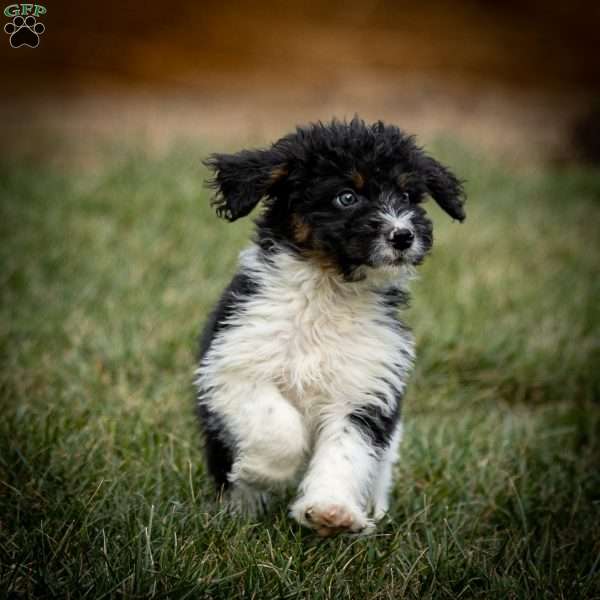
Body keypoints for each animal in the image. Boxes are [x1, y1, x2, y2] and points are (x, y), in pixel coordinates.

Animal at [195, 116, 466, 536]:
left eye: (407, 195)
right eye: (346, 197)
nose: (403, 235)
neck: (328, 292)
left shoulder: (364, 391)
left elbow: (346, 452)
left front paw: (330, 511)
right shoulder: (234, 366)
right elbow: (279, 427)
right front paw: (261, 470)